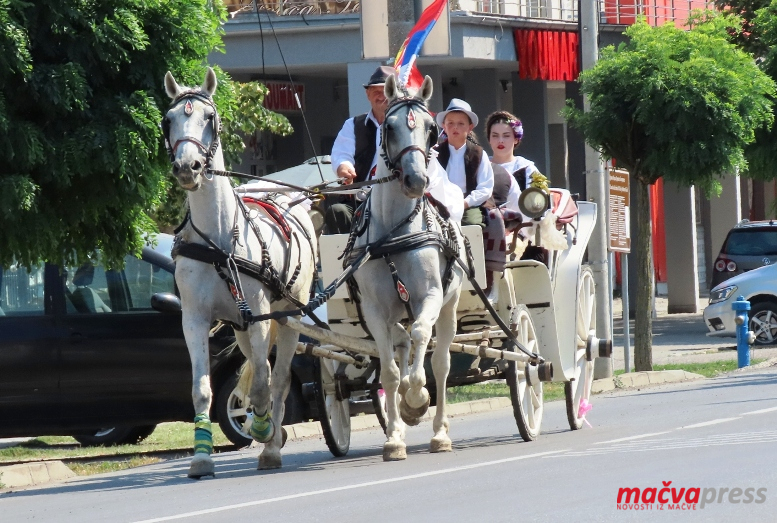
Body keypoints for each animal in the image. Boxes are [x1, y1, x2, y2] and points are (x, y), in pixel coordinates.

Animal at [164, 67, 318, 476]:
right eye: (169, 119)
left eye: (209, 117)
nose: (188, 167)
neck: (219, 240)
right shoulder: (195, 318)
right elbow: (201, 389)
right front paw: (201, 458)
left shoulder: (261, 315)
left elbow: (264, 383)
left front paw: (264, 431)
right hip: (241, 324)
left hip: (288, 315)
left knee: (278, 379)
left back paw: (271, 444)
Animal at [348, 75, 464, 460]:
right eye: (390, 127)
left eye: (431, 129)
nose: (416, 181)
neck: (395, 234)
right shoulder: (373, 310)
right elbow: (389, 372)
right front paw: (394, 437)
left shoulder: (430, 296)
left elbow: (421, 347)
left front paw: (416, 399)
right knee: (401, 346)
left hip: (450, 306)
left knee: (439, 360)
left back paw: (440, 432)